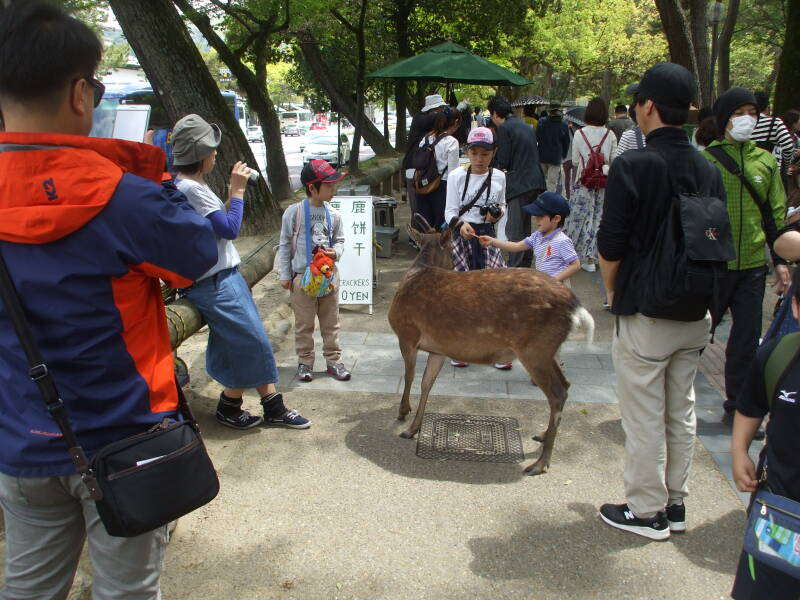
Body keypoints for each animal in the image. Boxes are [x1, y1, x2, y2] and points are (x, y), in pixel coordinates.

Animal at [388, 218, 592, 476]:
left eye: (452, 251)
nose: (455, 265)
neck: (418, 271)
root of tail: (576, 307)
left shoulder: (407, 333)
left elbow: (409, 376)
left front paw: (402, 412)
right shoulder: (438, 349)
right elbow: (427, 383)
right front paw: (413, 428)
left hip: (534, 348)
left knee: (557, 392)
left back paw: (540, 464)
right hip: (549, 350)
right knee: (566, 383)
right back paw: (543, 436)